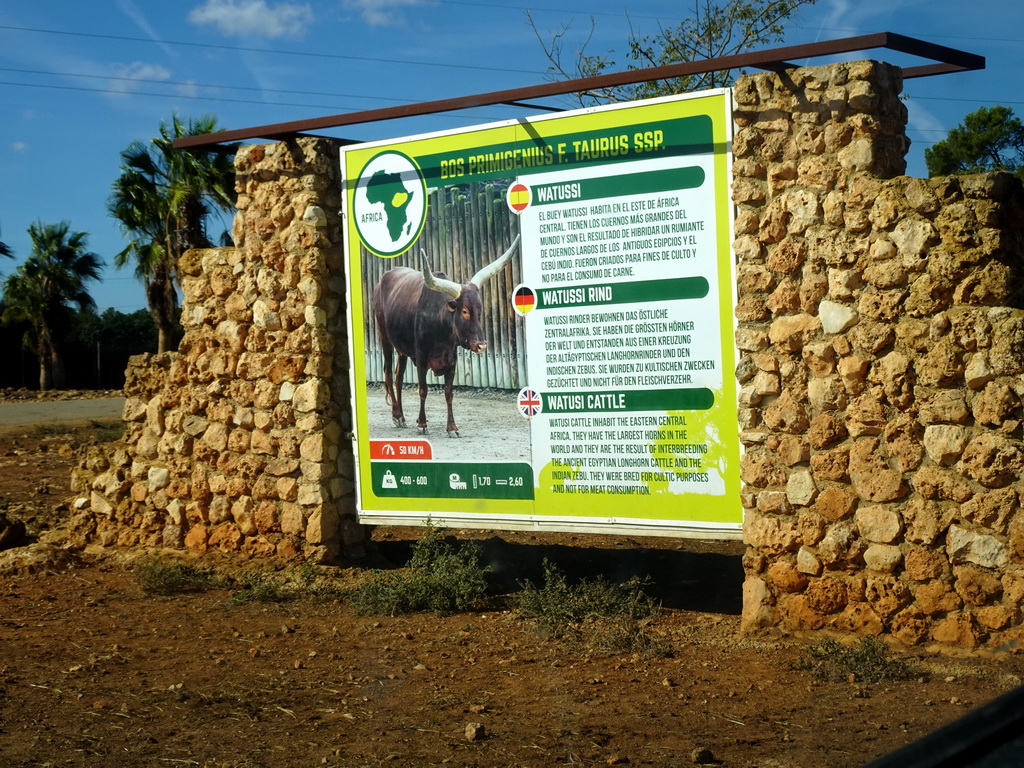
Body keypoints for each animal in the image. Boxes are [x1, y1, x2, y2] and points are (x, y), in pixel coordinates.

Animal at [372, 233, 520, 438]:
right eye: (464, 311)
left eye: (480, 310)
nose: (481, 345)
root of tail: (382, 280)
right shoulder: (421, 358)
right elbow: (423, 390)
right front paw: (422, 424)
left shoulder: (451, 360)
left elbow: (449, 393)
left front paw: (452, 427)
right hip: (384, 337)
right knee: (387, 373)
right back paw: (397, 415)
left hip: (402, 349)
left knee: (398, 377)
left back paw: (401, 416)